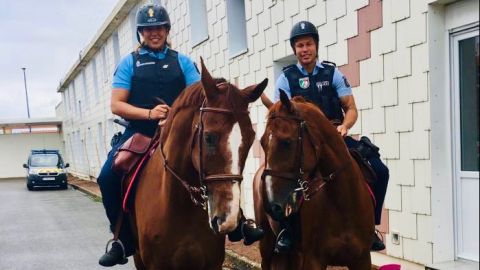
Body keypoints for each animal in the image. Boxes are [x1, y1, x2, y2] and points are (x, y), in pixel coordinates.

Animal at [253, 91, 374, 270]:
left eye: (286, 142)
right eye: (262, 142)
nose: (272, 206)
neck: (342, 202)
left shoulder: (362, 259)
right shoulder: (313, 260)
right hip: (267, 245)